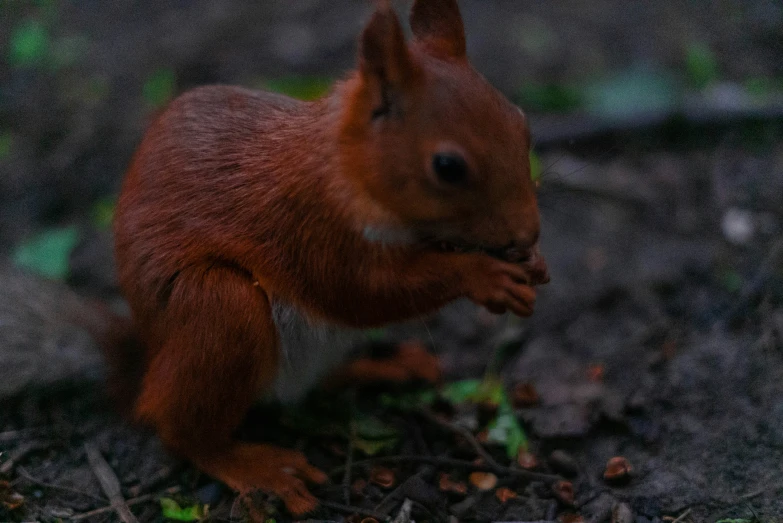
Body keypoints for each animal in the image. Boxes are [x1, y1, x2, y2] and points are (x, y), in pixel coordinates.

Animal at [112, 0, 552, 516]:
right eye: (448, 167)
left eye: (521, 123)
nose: (528, 232)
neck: (348, 163)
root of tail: (146, 346)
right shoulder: (311, 225)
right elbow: (364, 290)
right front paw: (483, 275)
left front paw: (534, 261)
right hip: (216, 309)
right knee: (178, 426)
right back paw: (256, 466)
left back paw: (385, 367)